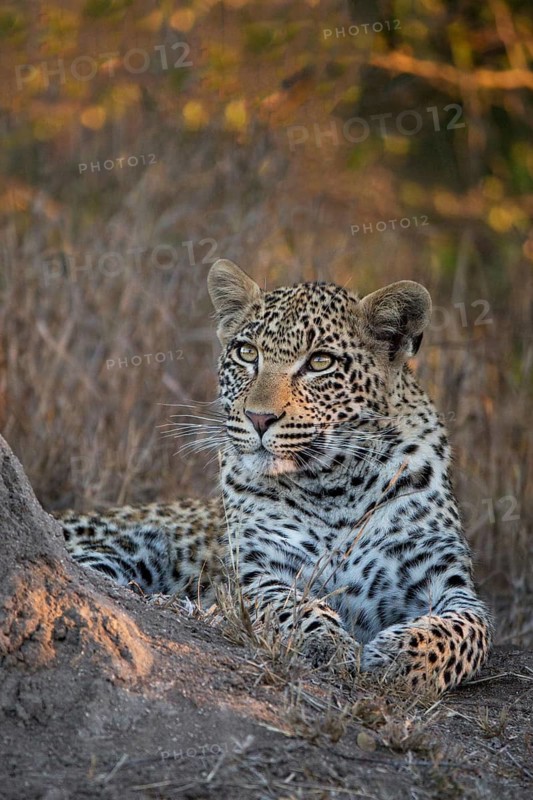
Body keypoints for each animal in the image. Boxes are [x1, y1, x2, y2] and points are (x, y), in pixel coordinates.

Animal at [55, 258, 492, 693]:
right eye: (247, 353)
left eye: (320, 362)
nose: (258, 418)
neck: (334, 487)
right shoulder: (257, 571)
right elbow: (292, 605)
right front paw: (328, 643)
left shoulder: (444, 579)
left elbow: (469, 627)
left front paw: (400, 655)